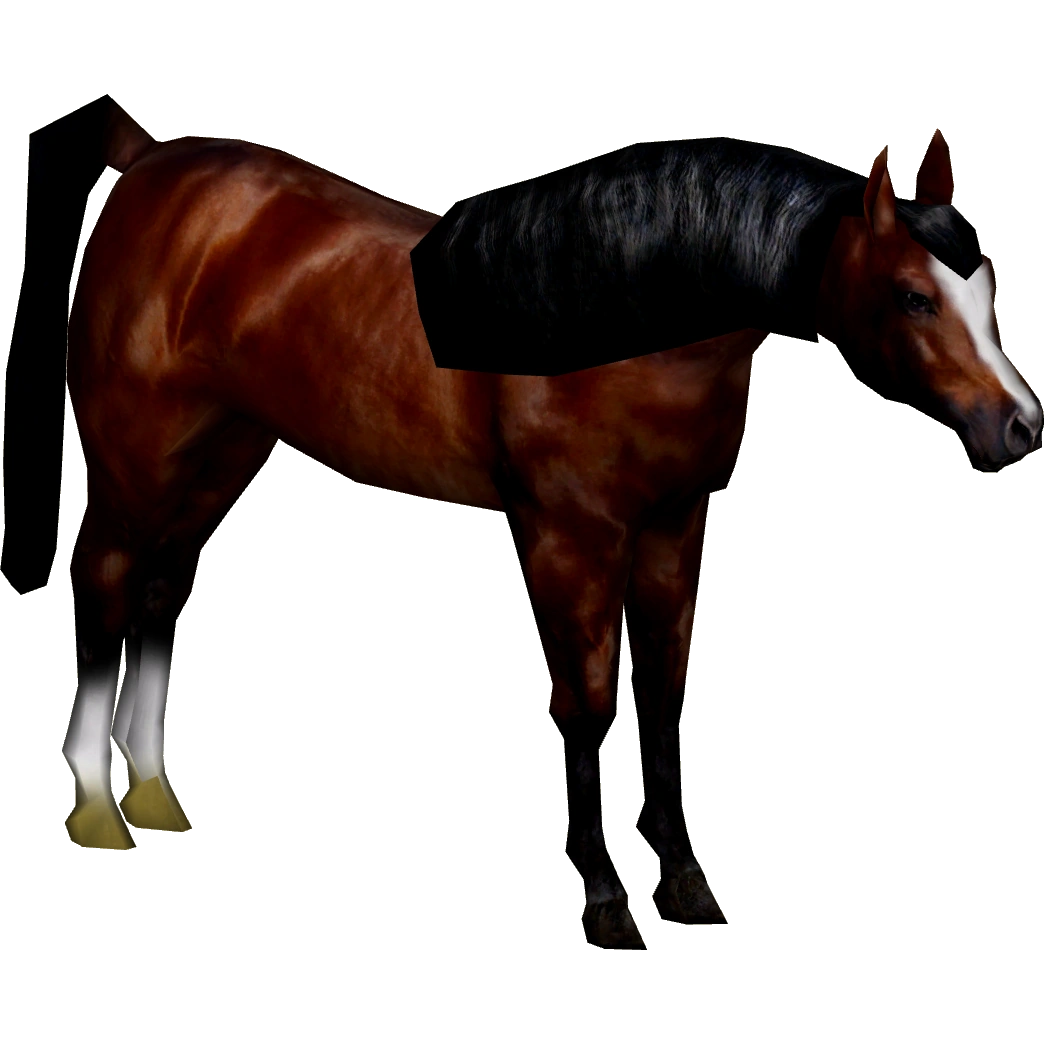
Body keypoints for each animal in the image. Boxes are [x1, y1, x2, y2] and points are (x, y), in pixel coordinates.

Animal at [2, 95, 1039, 951]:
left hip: (218, 458)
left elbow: (663, 698)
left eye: (987, 285)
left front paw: (687, 886)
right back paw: (96, 811)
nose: (1019, 427)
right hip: (136, 464)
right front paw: (607, 900)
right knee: (104, 591)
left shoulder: (673, 531)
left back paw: (154, 794)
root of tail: (150, 161)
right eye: (912, 295)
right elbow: (587, 705)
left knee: (162, 593)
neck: (614, 315)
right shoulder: (566, 540)